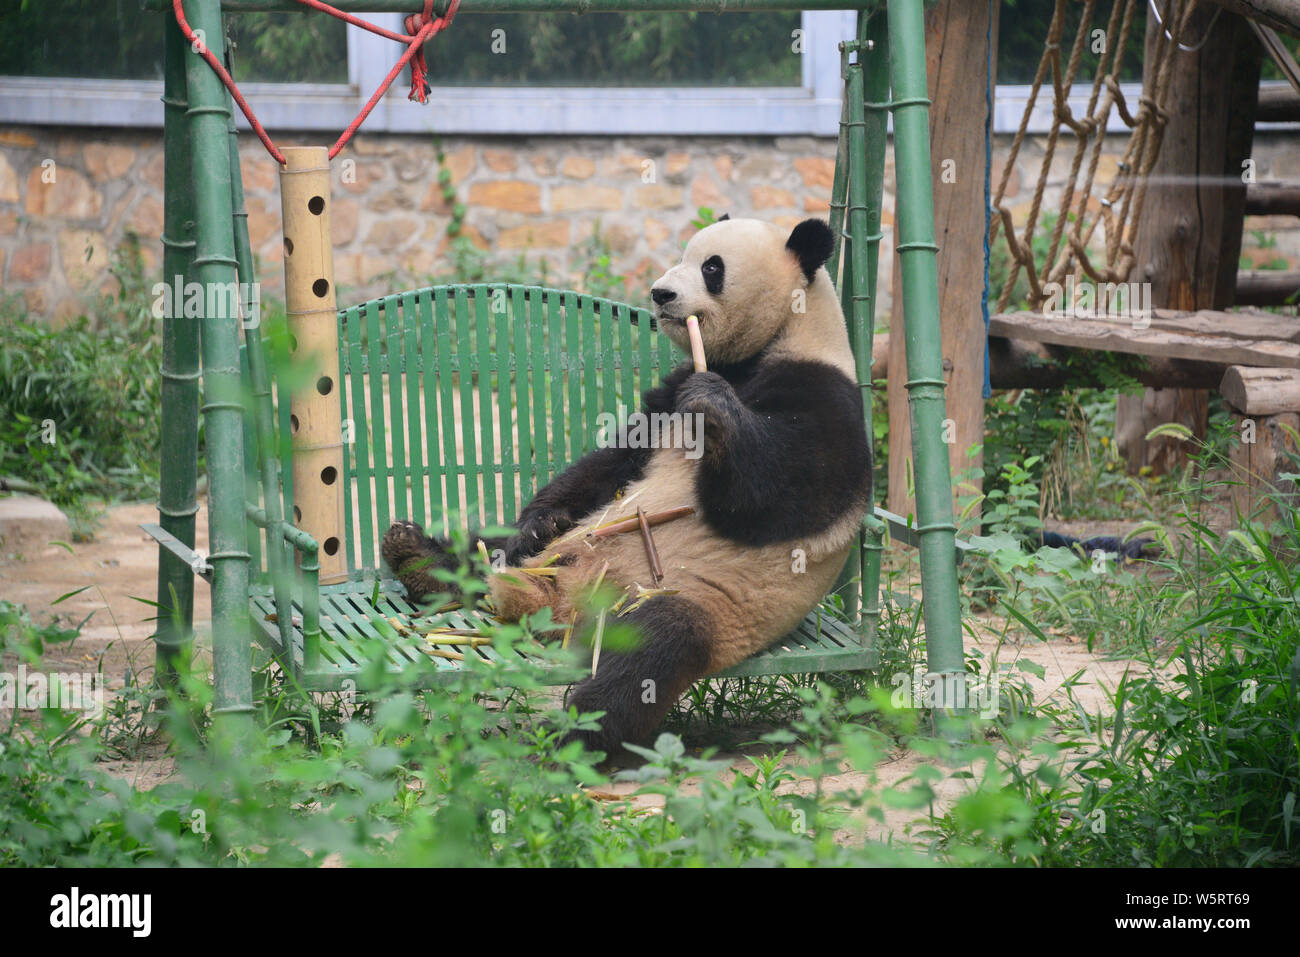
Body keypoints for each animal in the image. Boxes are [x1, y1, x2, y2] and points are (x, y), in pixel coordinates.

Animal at [382, 214, 873, 754]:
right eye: (682, 255)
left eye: (712, 267)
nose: (661, 292)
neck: (784, 335)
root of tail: (553, 603)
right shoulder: (670, 394)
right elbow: (616, 460)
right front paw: (539, 519)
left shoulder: (826, 395)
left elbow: (779, 493)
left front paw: (714, 407)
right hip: (549, 559)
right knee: (491, 546)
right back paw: (419, 555)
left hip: (694, 603)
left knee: (648, 656)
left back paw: (573, 737)